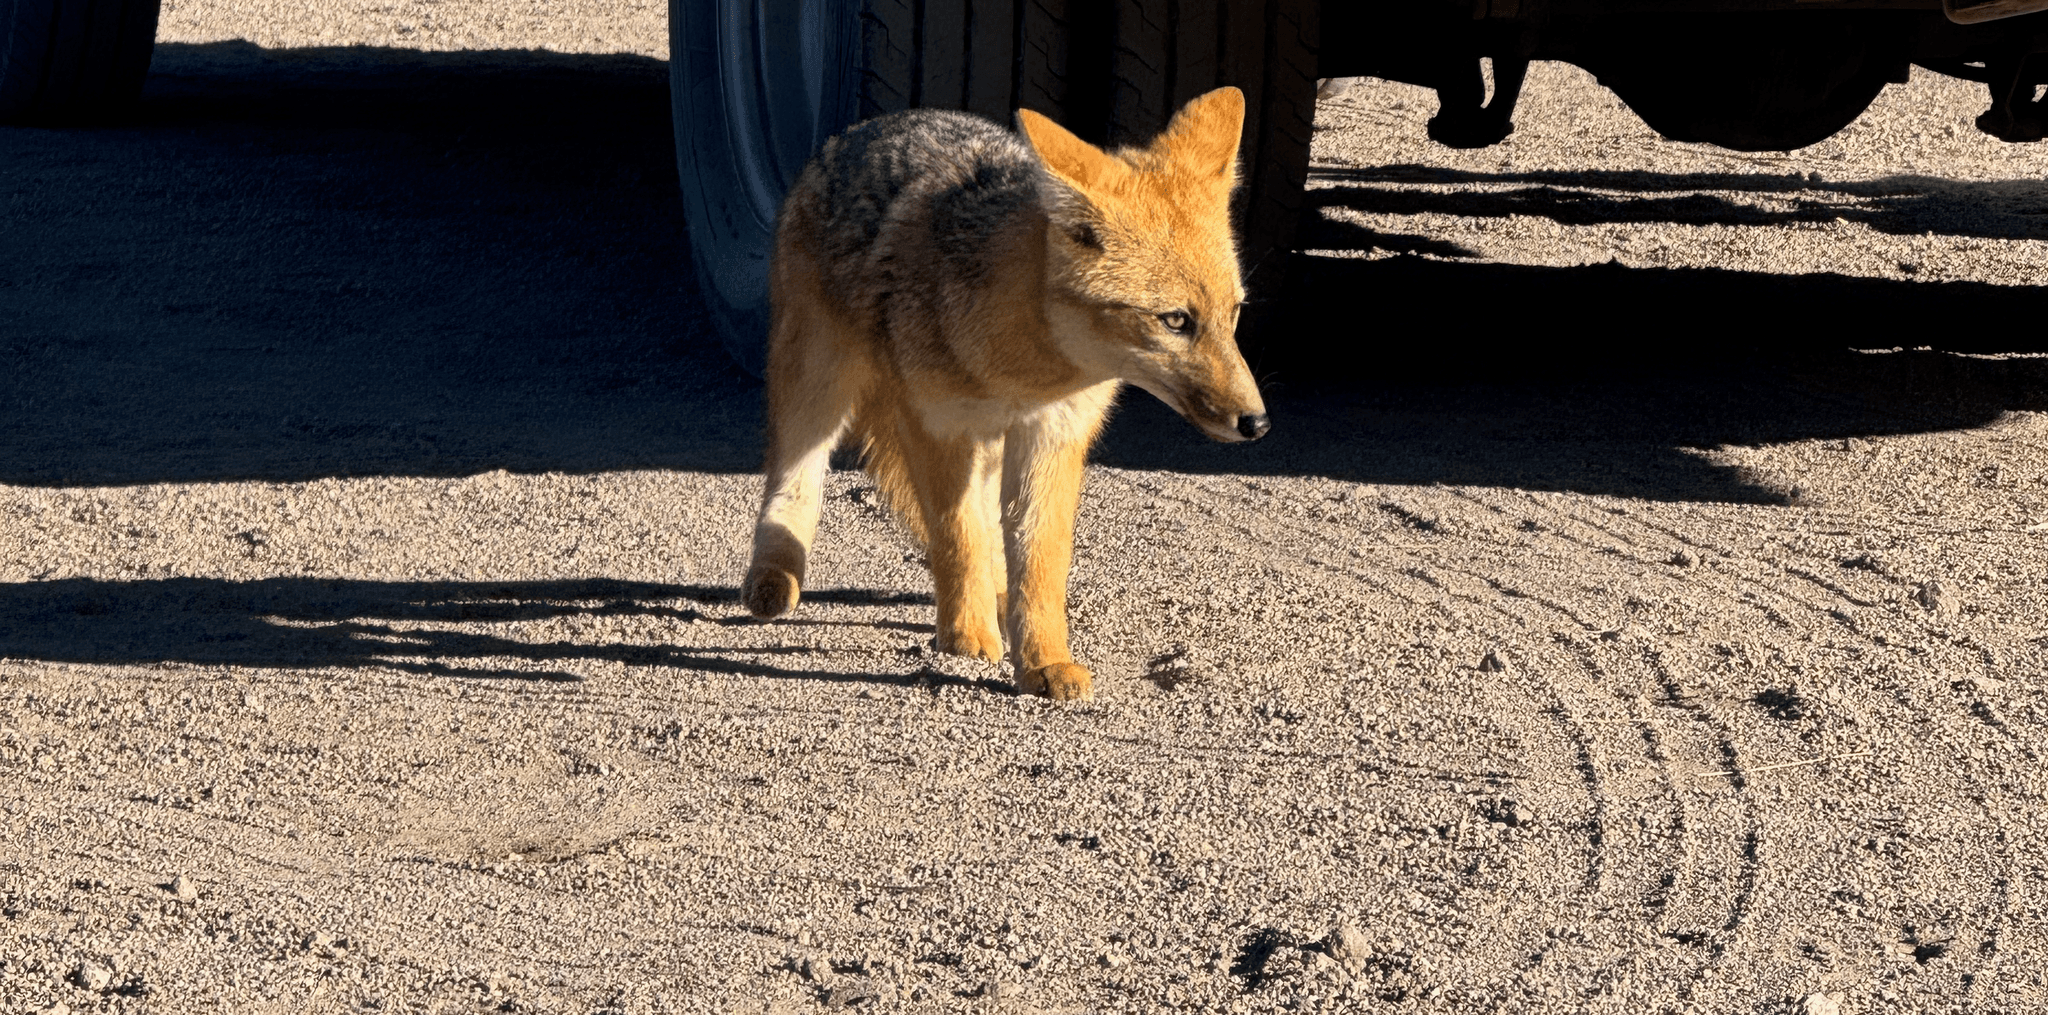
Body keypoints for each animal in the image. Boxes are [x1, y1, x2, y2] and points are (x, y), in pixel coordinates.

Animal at [740, 86, 1269, 701]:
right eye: (1176, 321)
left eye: (1234, 314)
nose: (1257, 422)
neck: (1022, 371)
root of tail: (868, 126)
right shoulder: (939, 426)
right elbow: (957, 536)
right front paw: (967, 634)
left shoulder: (1051, 436)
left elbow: (1039, 561)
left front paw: (1043, 659)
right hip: (817, 386)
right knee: (793, 478)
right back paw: (775, 575)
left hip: (985, 446)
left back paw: (997, 596)